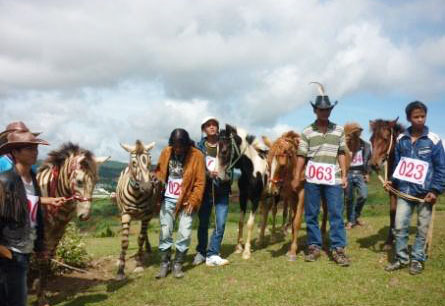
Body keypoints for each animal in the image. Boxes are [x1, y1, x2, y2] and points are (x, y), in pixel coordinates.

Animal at [35, 143, 109, 306]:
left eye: (96, 181)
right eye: (79, 181)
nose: (85, 216)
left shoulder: (57, 232)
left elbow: (47, 261)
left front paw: (42, 292)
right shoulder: (42, 234)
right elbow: (41, 261)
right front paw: (40, 297)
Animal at [113, 140, 159, 280]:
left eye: (149, 160)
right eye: (134, 163)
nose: (148, 188)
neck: (137, 195)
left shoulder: (147, 215)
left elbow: (140, 238)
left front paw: (139, 264)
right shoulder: (126, 214)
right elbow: (124, 242)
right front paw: (120, 270)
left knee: (145, 233)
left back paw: (146, 250)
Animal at [215, 123, 268, 260]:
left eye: (224, 151)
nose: (218, 177)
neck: (252, 170)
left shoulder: (255, 199)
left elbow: (250, 223)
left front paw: (247, 251)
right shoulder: (242, 198)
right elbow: (240, 222)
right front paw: (238, 247)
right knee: (265, 216)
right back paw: (261, 241)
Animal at [366, 117, 404, 249]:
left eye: (385, 138)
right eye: (371, 139)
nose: (373, 164)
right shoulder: (393, 192)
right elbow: (393, 213)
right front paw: (389, 241)